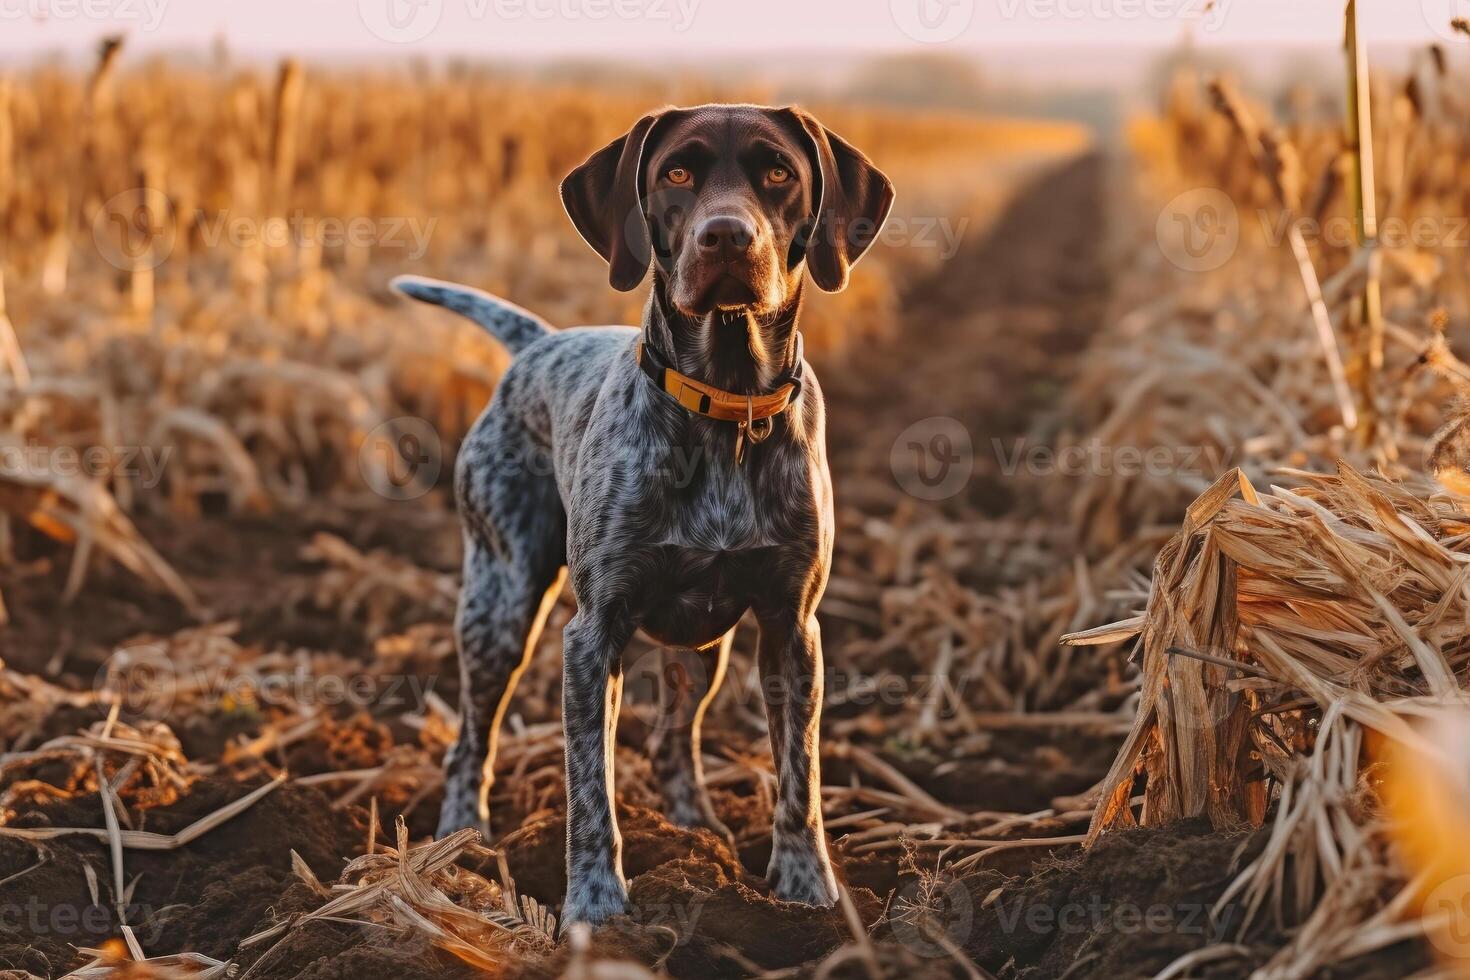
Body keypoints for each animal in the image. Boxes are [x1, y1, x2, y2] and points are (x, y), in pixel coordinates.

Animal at [393, 103, 893, 922]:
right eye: (677, 172)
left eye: (778, 172)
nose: (727, 236)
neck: (727, 404)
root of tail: (537, 344)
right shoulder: (594, 637)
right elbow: (589, 794)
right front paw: (596, 911)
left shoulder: (791, 629)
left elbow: (801, 778)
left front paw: (806, 889)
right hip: (499, 604)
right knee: (471, 738)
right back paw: (460, 845)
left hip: (702, 645)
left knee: (670, 741)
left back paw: (698, 836)